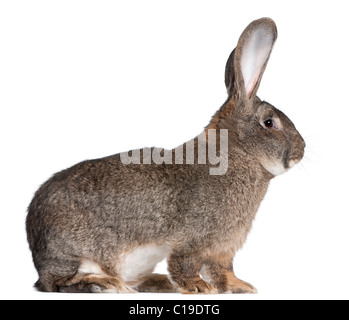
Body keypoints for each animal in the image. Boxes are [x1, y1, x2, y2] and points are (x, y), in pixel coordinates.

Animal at [26, 16, 304, 294]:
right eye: (269, 122)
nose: (301, 150)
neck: (236, 152)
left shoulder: (223, 249)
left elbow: (224, 271)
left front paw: (242, 287)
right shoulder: (194, 240)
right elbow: (186, 263)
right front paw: (198, 287)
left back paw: (156, 281)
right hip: (75, 253)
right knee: (59, 282)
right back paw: (104, 283)